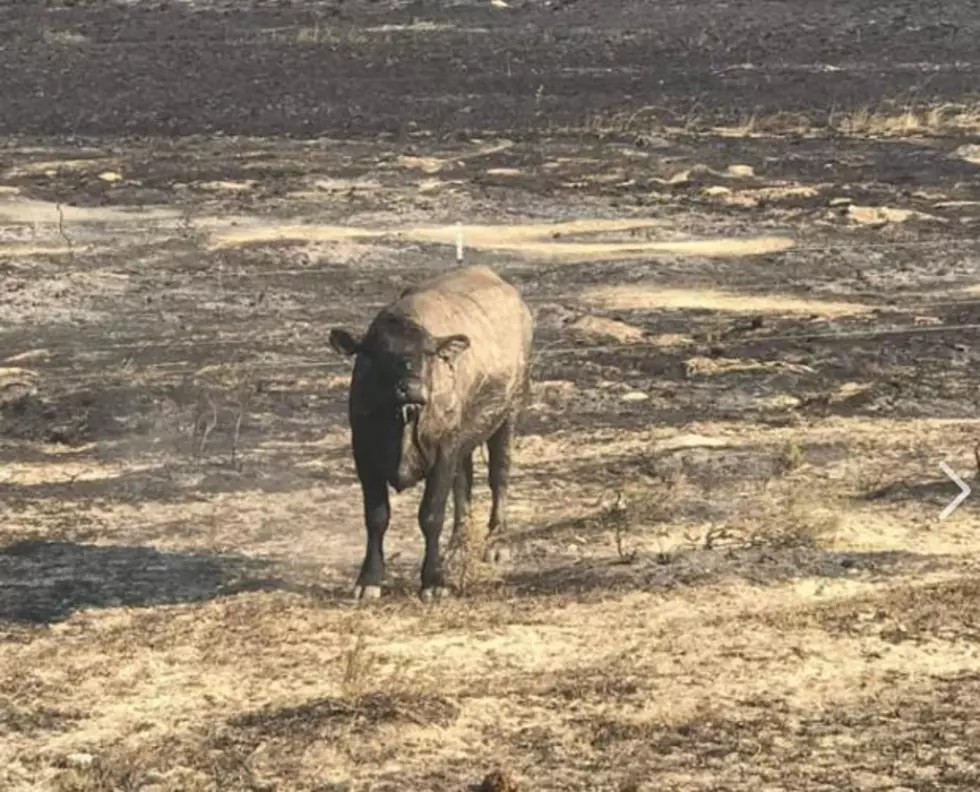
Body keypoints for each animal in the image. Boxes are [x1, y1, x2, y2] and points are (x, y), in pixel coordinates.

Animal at [330, 264, 532, 600]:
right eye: (378, 353)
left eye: (428, 353)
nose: (411, 389)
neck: (401, 423)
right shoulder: (364, 454)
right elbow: (376, 517)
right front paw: (369, 579)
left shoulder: (443, 452)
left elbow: (431, 515)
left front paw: (434, 581)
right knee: (464, 484)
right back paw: (457, 547)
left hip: (509, 412)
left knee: (499, 477)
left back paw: (496, 542)